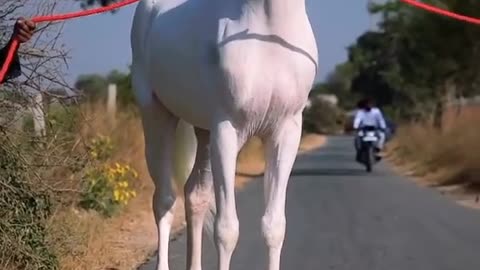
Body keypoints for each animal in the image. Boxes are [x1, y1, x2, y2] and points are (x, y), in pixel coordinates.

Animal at [131, 0, 318, 268]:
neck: (268, 31)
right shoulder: (227, 131)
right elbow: (227, 230)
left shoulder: (286, 132)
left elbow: (274, 227)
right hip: (157, 118)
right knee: (165, 199)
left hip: (205, 134)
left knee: (195, 194)